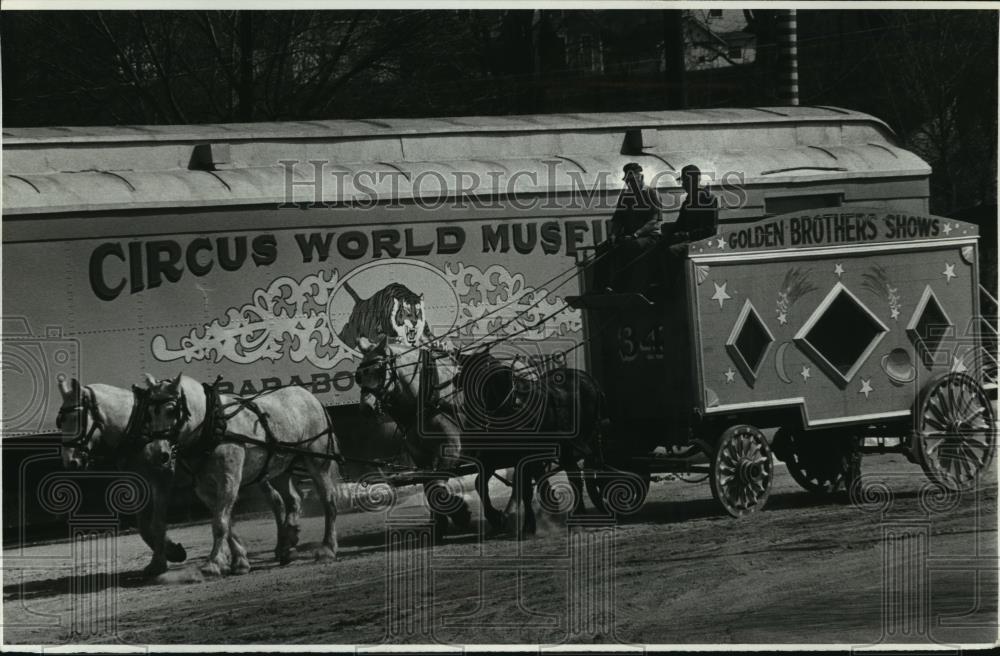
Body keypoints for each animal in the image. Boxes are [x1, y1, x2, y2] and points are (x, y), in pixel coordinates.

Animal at [55, 376, 300, 576]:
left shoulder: (163, 478)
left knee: (276, 501)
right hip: (257, 472)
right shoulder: (140, 482)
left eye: (78, 418)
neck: (138, 430)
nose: (70, 461)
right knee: (277, 501)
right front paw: (173, 552)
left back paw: (286, 544)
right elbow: (144, 526)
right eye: (60, 421)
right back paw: (284, 545)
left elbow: (157, 522)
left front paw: (164, 558)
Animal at [143, 372, 342, 576]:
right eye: (149, 413)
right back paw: (288, 543)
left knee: (329, 500)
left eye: (171, 410)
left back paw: (327, 548)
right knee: (292, 499)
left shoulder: (229, 480)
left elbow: (220, 523)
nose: (157, 453)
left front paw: (213, 563)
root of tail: (309, 395)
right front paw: (239, 560)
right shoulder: (204, 489)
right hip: (280, 467)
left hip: (318, 462)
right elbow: (227, 522)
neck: (213, 425)